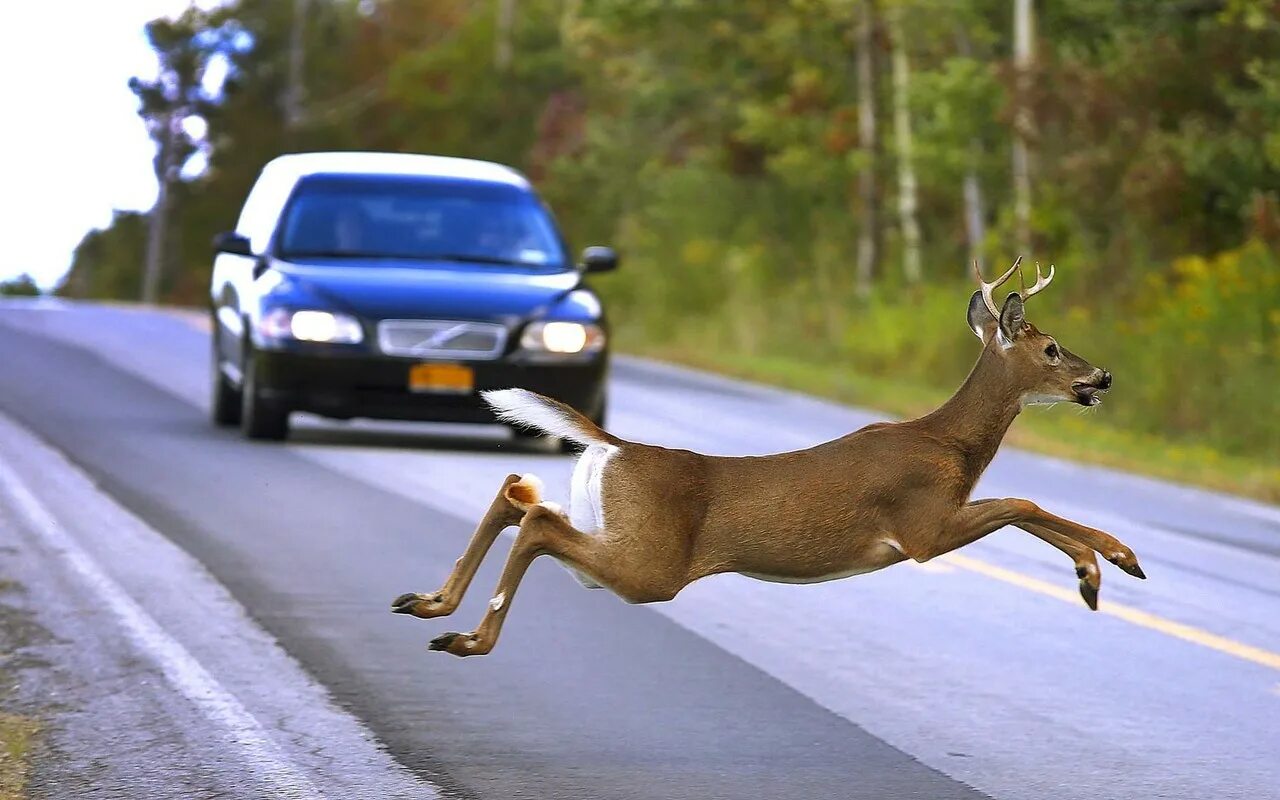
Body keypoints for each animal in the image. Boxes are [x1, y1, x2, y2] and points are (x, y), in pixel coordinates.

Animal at [391, 257, 1152, 655]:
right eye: (1050, 348)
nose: (1103, 377)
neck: (950, 445)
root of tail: (617, 445)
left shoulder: (936, 521)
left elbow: (1022, 506)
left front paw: (1095, 571)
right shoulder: (922, 527)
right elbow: (1022, 501)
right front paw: (1110, 562)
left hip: (617, 533)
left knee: (518, 494)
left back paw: (430, 605)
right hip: (651, 564)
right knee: (538, 522)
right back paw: (469, 637)